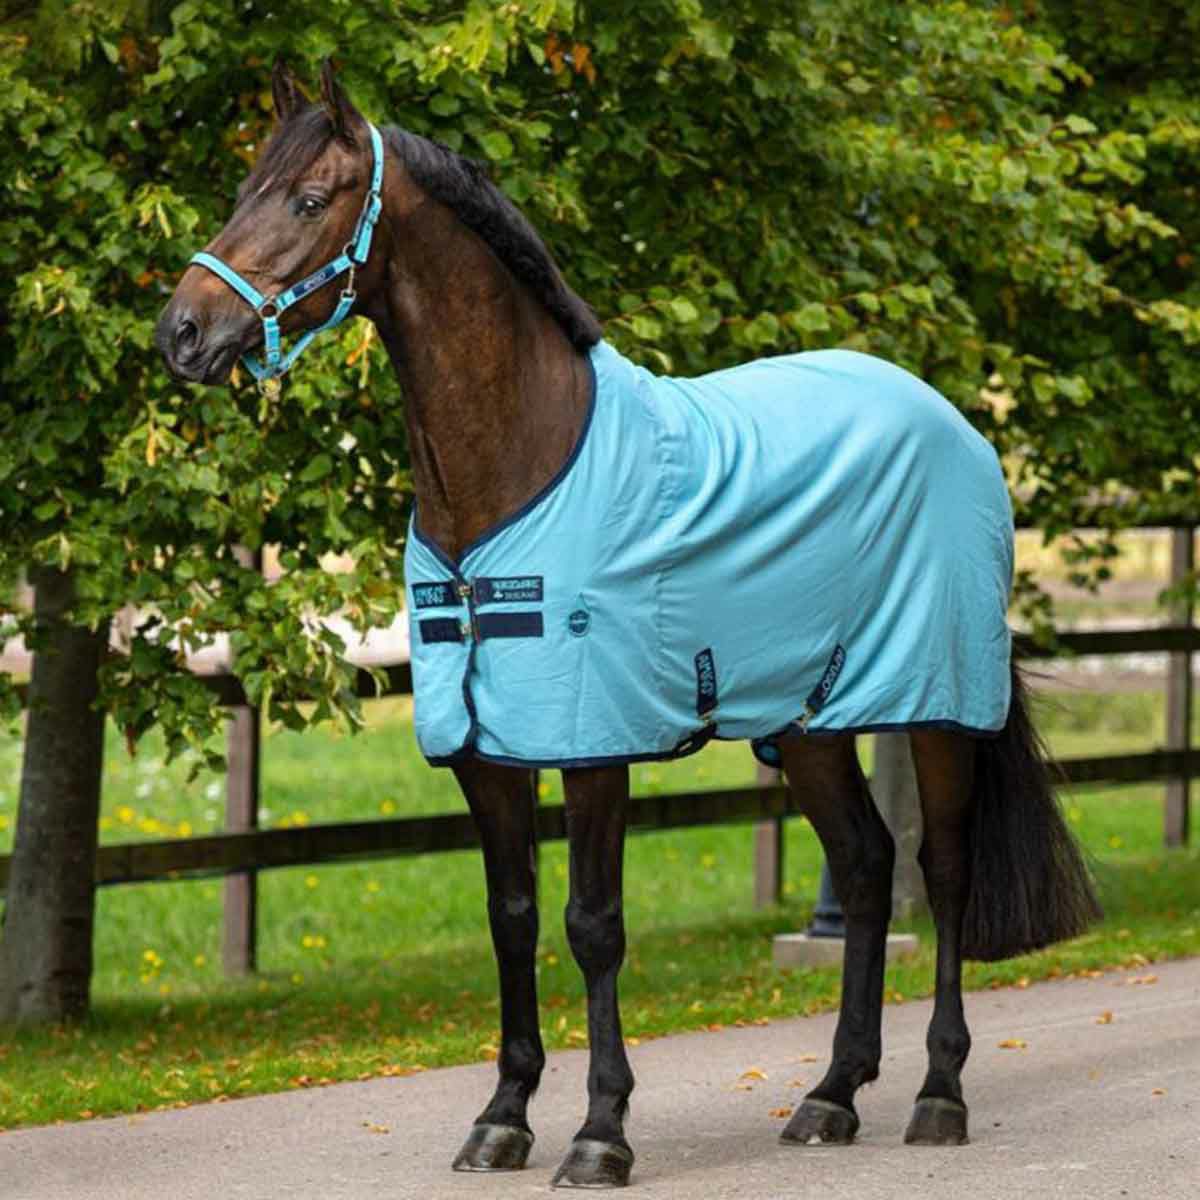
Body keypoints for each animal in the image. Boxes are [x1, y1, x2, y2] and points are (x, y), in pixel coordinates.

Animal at [155, 60, 1100, 1189]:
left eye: (307, 198)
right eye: (242, 189)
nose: (182, 333)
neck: (517, 462)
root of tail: (954, 423)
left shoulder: (591, 742)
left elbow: (592, 925)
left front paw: (600, 1132)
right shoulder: (483, 748)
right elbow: (511, 918)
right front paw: (502, 1117)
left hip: (939, 707)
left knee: (942, 874)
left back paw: (937, 1096)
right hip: (811, 723)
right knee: (868, 866)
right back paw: (830, 1096)